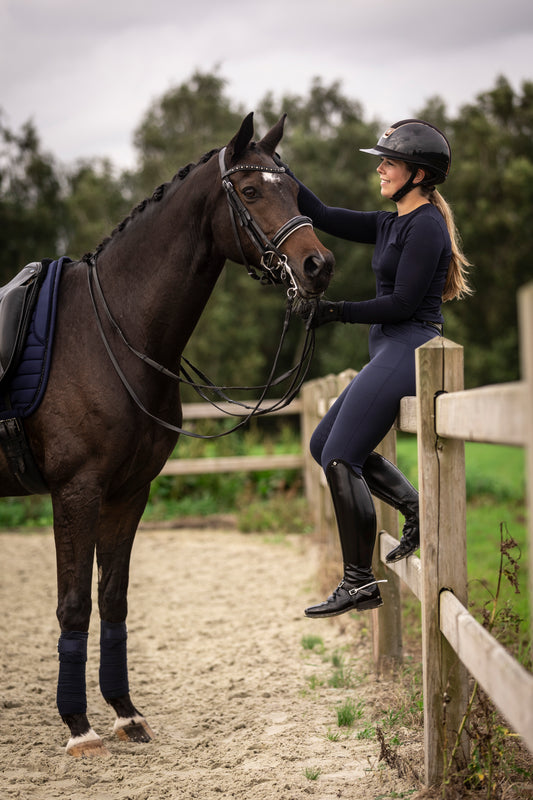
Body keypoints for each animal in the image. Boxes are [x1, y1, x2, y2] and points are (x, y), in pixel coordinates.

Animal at [0, 112, 332, 756]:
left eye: (294, 190)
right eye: (250, 190)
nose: (318, 266)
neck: (109, 333)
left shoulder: (129, 493)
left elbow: (113, 598)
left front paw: (125, 713)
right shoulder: (75, 492)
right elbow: (74, 604)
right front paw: (79, 727)